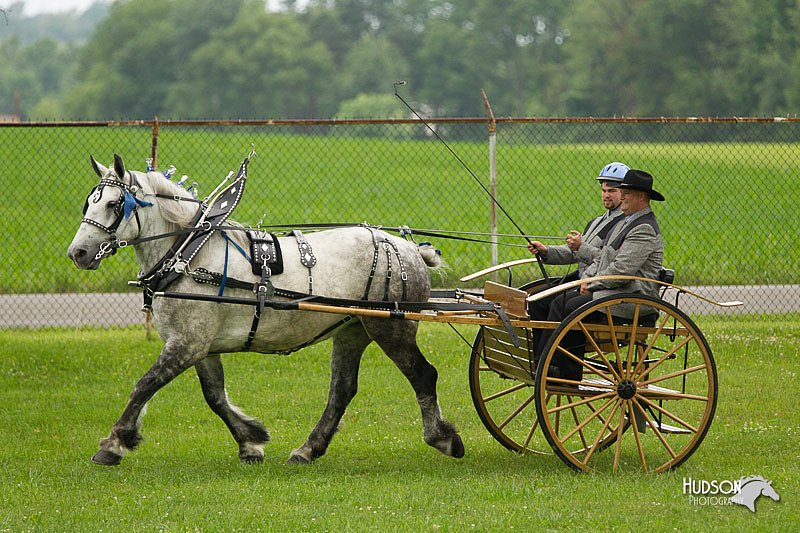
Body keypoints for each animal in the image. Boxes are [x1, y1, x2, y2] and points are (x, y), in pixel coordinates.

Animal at [69, 155, 468, 466]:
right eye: (88, 203)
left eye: (114, 204)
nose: (78, 253)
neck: (188, 254)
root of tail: (408, 249)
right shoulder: (200, 346)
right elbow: (214, 396)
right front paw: (250, 440)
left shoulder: (186, 345)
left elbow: (144, 385)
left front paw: (114, 443)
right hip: (352, 330)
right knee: (342, 389)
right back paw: (308, 449)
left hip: (392, 329)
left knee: (423, 375)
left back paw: (443, 438)